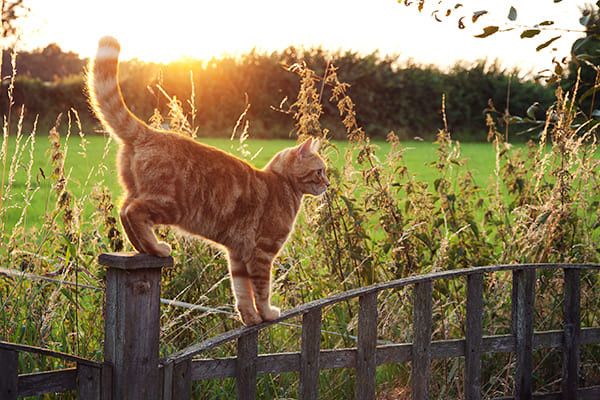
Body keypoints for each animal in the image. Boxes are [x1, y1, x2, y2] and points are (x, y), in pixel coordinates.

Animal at [87, 36, 330, 326]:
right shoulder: (262, 253)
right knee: (133, 212)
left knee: (124, 210)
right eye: (320, 171)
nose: (328, 184)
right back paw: (157, 248)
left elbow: (242, 292)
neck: (282, 183)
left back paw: (145, 248)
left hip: (138, 192)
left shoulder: (238, 256)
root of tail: (149, 132)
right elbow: (262, 290)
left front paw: (250, 318)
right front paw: (267, 314)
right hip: (171, 204)